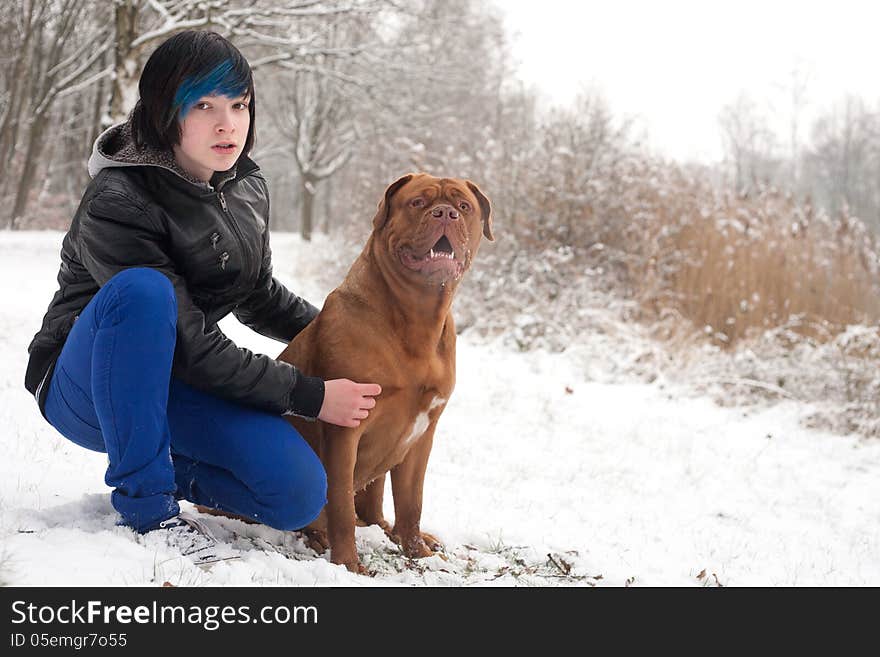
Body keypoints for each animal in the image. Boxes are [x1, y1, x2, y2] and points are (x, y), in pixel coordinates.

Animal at [278, 173, 492, 568]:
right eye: (418, 202)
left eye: (464, 205)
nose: (445, 213)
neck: (417, 316)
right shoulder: (345, 429)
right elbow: (340, 504)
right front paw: (348, 565)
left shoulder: (422, 435)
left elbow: (412, 502)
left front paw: (417, 552)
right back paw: (317, 537)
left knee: (374, 509)